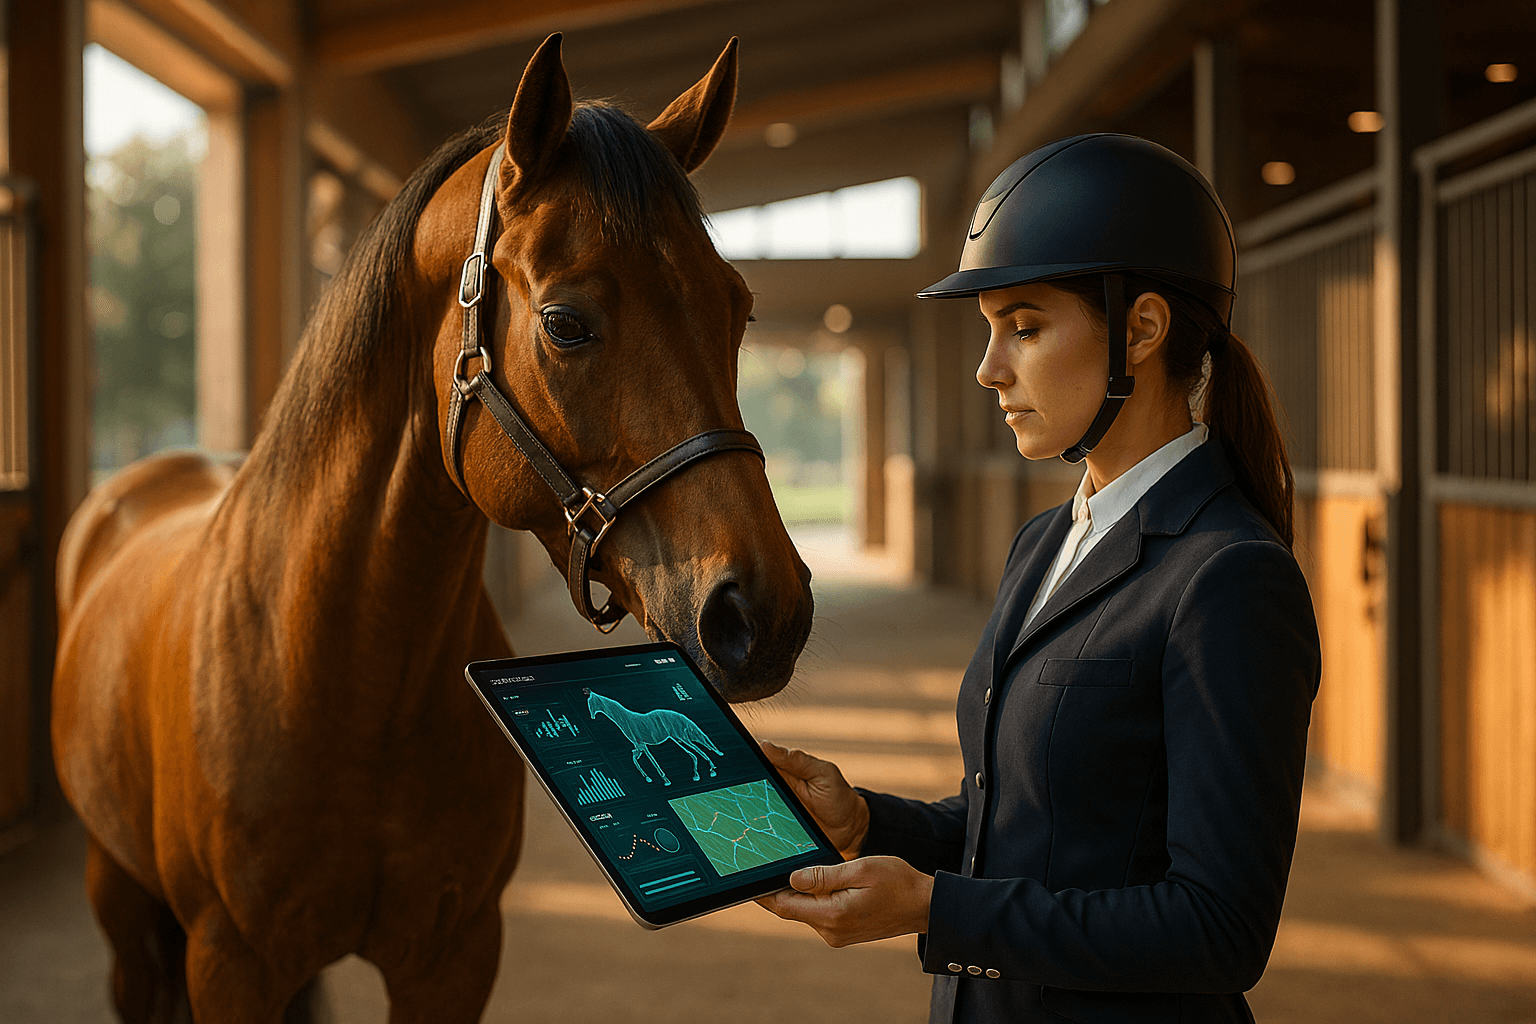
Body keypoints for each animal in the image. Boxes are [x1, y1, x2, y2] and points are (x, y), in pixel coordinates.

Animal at [586, 690, 722, 786]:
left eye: (590, 702)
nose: (591, 717)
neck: (625, 719)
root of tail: (681, 715)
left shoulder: (642, 745)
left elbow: (652, 761)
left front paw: (665, 780)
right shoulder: (639, 747)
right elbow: (634, 759)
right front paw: (648, 778)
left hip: (682, 738)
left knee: (699, 750)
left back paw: (711, 769)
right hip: (677, 739)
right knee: (693, 754)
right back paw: (698, 774)